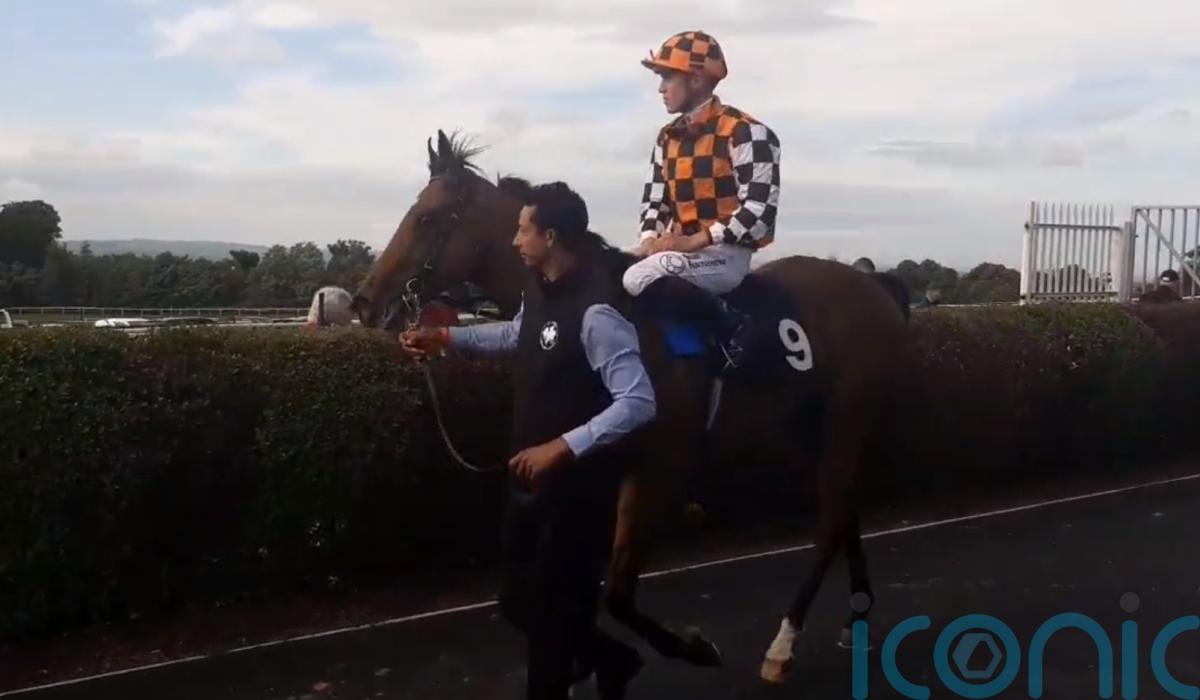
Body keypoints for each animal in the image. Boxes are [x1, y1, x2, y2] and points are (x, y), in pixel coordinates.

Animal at [352, 130, 911, 686]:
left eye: (425, 218)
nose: (363, 302)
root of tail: (874, 286)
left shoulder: (655, 466)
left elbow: (617, 593)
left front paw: (690, 648)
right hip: (806, 427)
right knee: (844, 512)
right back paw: (854, 617)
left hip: (845, 422)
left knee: (831, 520)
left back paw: (782, 645)